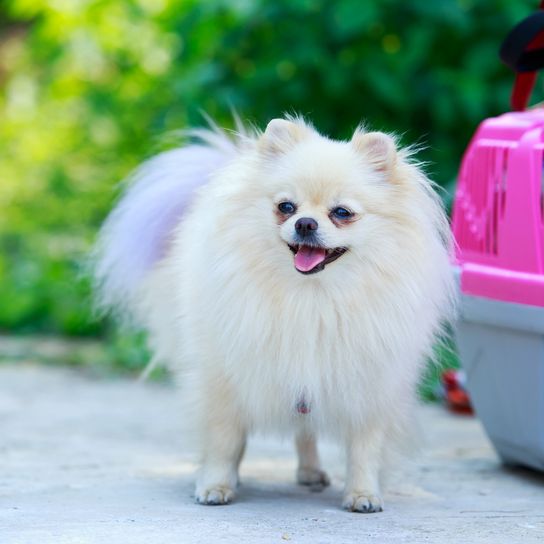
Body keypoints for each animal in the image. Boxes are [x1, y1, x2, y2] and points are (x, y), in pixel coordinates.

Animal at [94, 117, 454, 512]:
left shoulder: (370, 386)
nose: (305, 223)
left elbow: (365, 448)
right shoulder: (226, 377)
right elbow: (224, 438)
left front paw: (363, 494)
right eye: (286, 206)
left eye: (342, 213)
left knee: (306, 431)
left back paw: (310, 471)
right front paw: (216, 484)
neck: (311, 298)